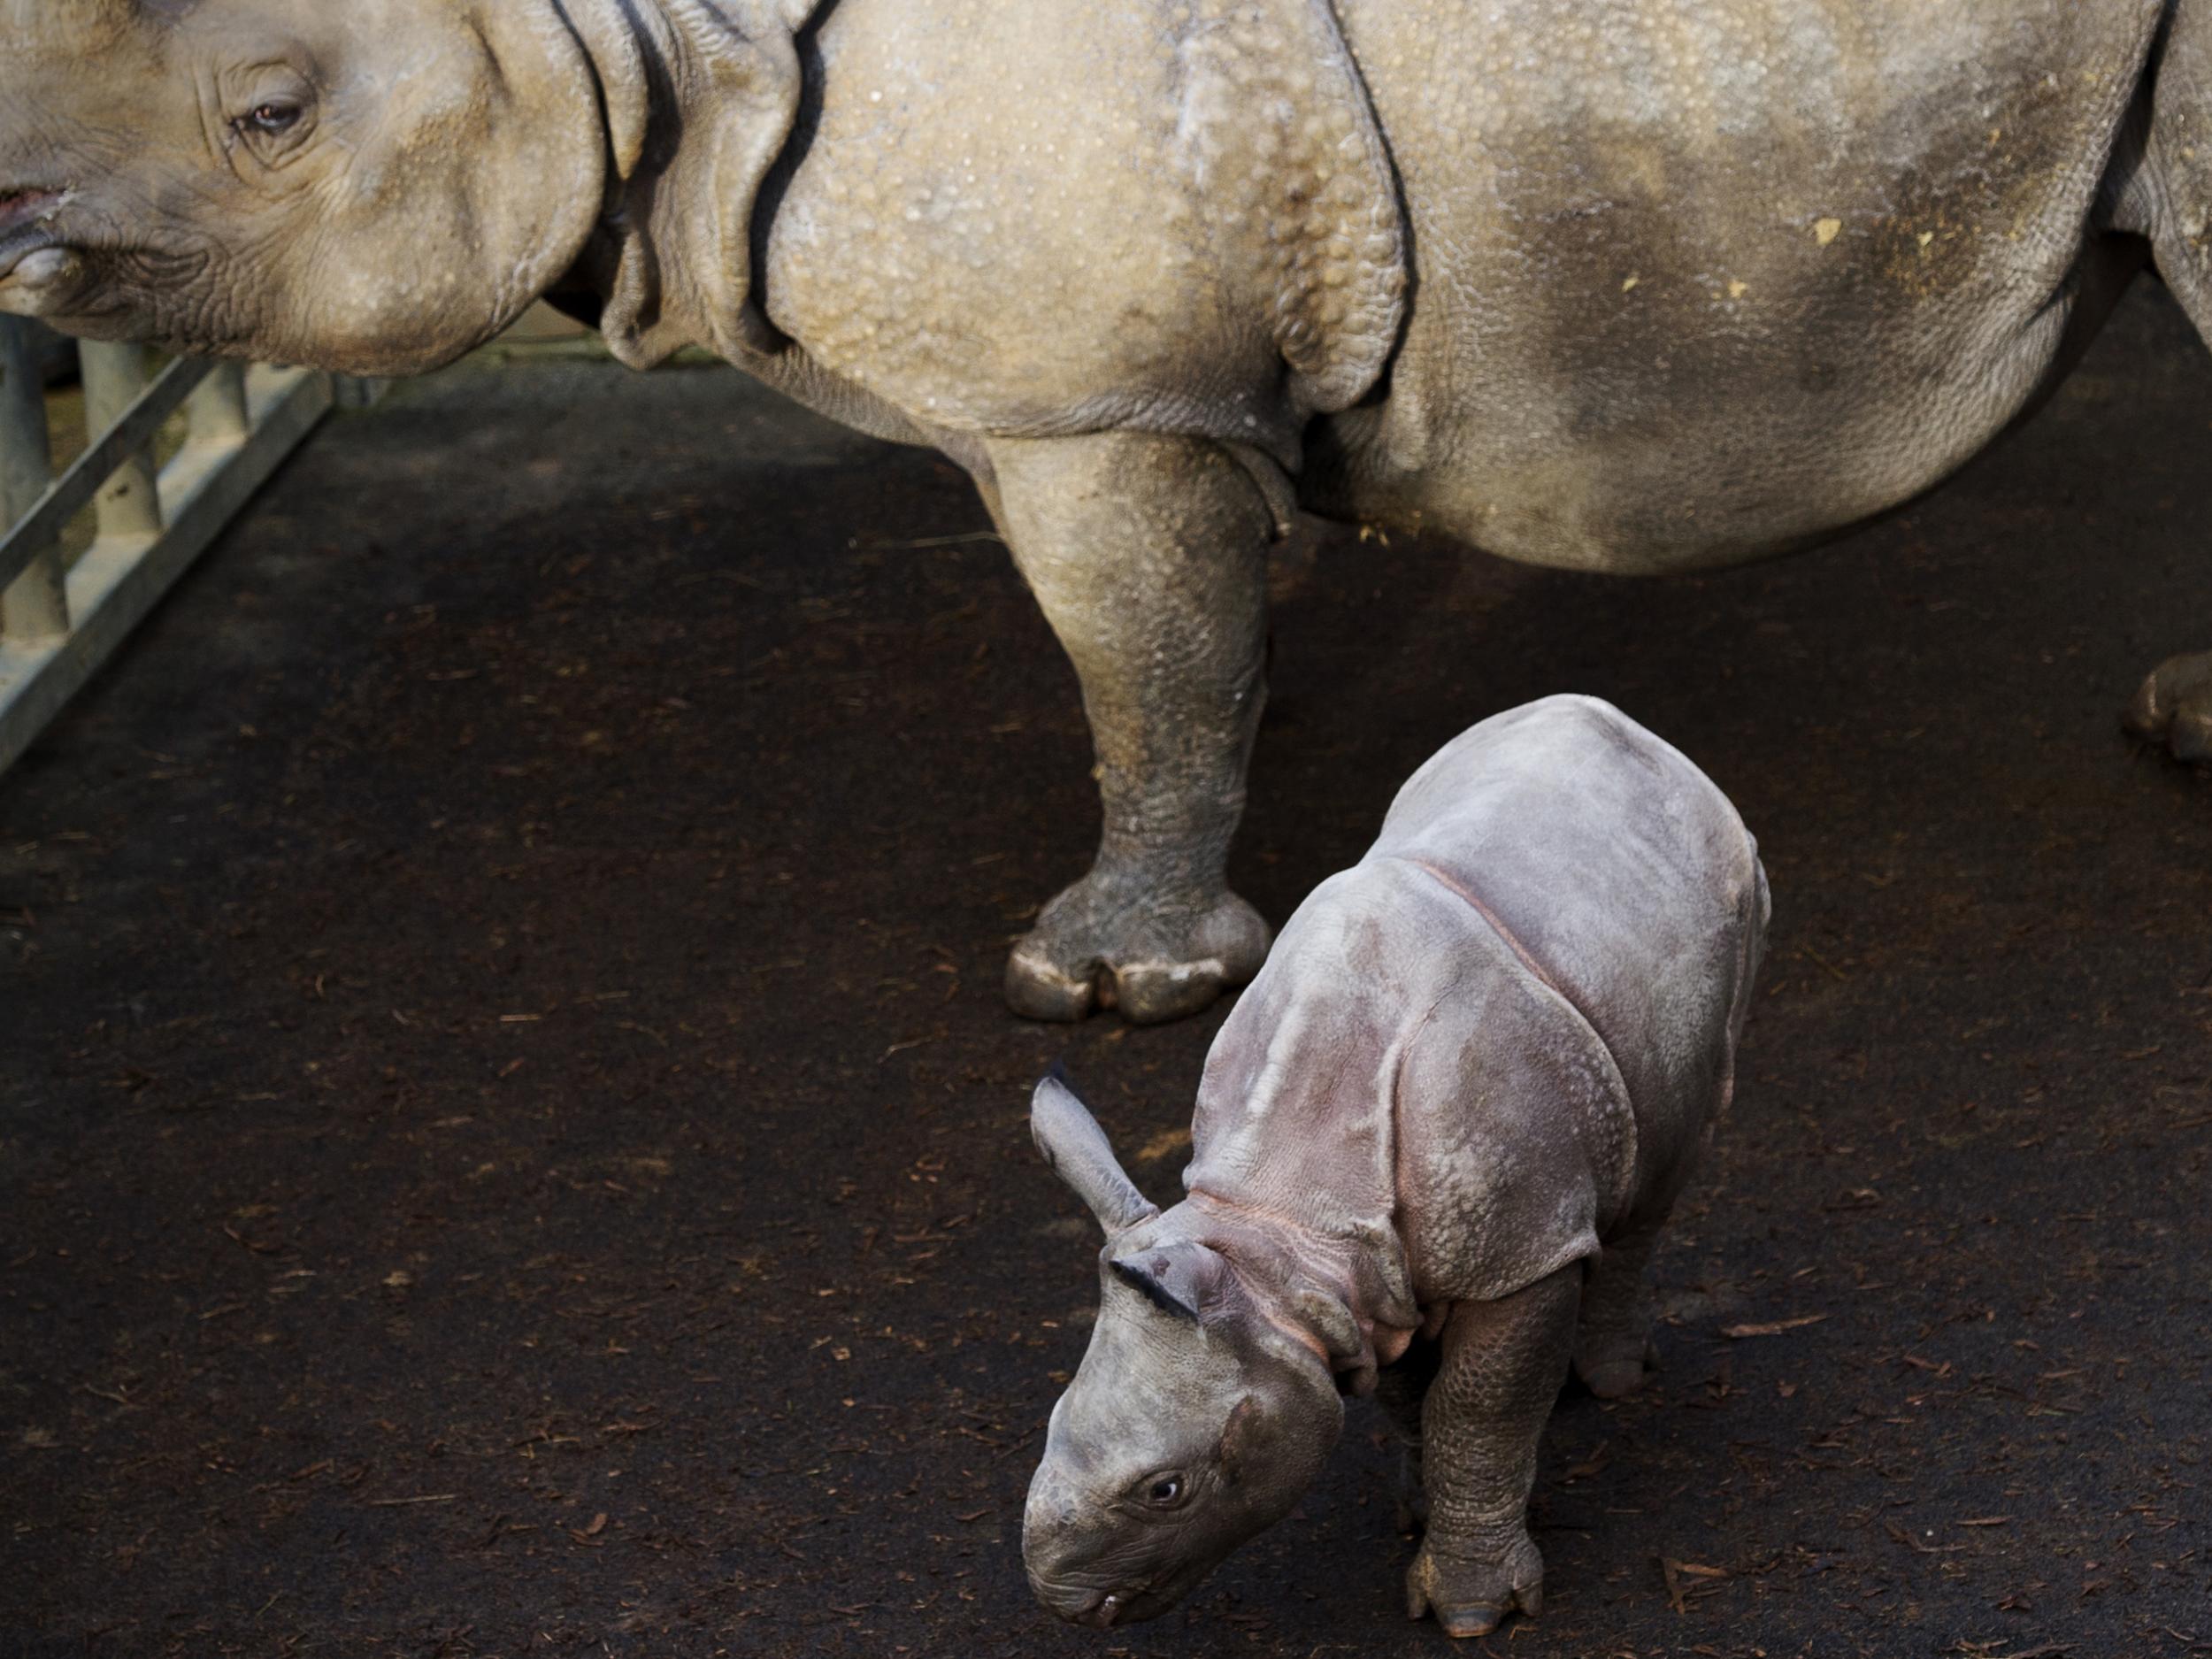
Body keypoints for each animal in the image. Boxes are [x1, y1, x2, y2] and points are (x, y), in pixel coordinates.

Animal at [0, 0, 2202, 1022]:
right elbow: (1163, 650)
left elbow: (1136, 652)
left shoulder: (1088, 399)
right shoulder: (1070, 378)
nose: (15, 222)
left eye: (271, 115)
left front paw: (1110, 983)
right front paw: (1256, 728)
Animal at [1023, 695, 1769, 1637]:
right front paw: (1419, 1512)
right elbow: (1413, 1394)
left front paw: (1474, 1611)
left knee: (1670, 1163)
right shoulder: (1369, 1279)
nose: (1062, 1599)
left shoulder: (1518, 1250)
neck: (1274, 1223)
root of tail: (1630, 728)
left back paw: (1615, 1383)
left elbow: (1478, 1409)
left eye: (1166, 1489)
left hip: (1733, 882)